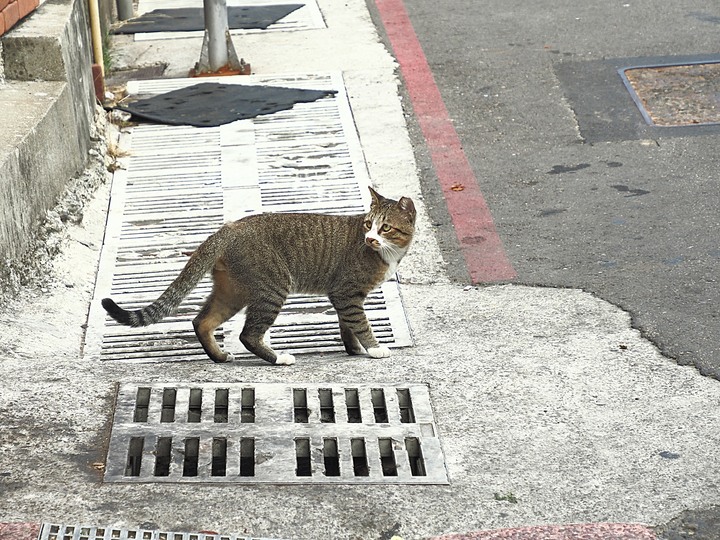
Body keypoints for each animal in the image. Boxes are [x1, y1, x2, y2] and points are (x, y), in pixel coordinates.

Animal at [102, 187, 416, 368]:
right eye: (368, 224)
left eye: (385, 228)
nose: (370, 238)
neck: (388, 253)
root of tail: (228, 229)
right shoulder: (346, 293)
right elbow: (360, 323)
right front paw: (374, 349)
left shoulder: (344, 297)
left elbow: (347, 325)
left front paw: (353, 349)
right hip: (273, 288)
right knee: (248, 334)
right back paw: (278, 358)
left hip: (232, 291)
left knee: (202, 321)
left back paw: (219, 356)